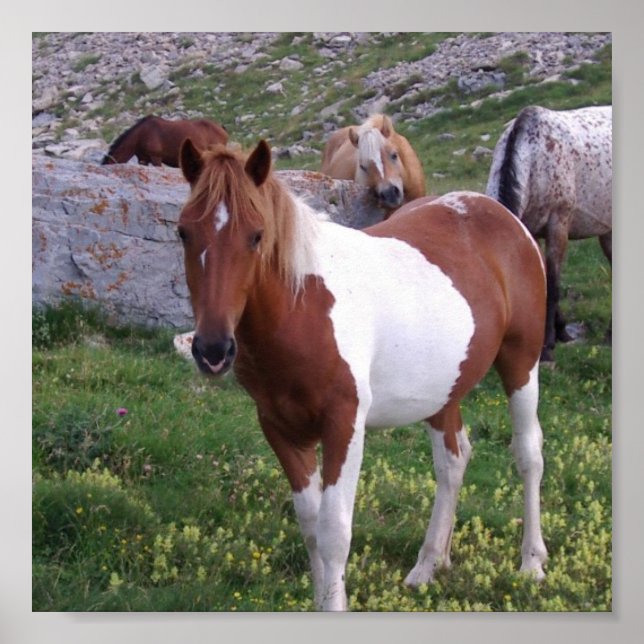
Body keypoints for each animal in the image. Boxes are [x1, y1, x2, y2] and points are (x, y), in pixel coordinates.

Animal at [176, 139, 548, 611]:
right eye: (184, 232)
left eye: (257, 235)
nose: (212, 350)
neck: (304, 305)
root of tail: (499, 213)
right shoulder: (280, 427)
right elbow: (310, 526)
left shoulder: (344, 424)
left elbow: (334, 531)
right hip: (443, 389)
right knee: (453, 461)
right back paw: (430, 564)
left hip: (521, 363)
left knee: (528, 454)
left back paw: (531, 562)